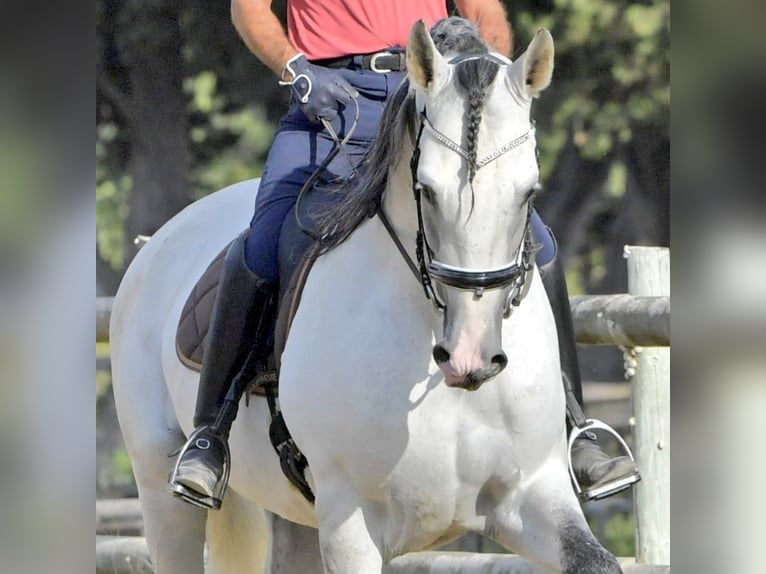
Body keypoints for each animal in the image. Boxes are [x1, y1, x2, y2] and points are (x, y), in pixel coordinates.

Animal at [109, 20, 624, 574]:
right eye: (426, 190)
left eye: (529, 192)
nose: (470, 357)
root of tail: (156, 241)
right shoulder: (350, 523)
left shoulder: (532, 492)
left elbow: (596, 561)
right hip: (163, 492)